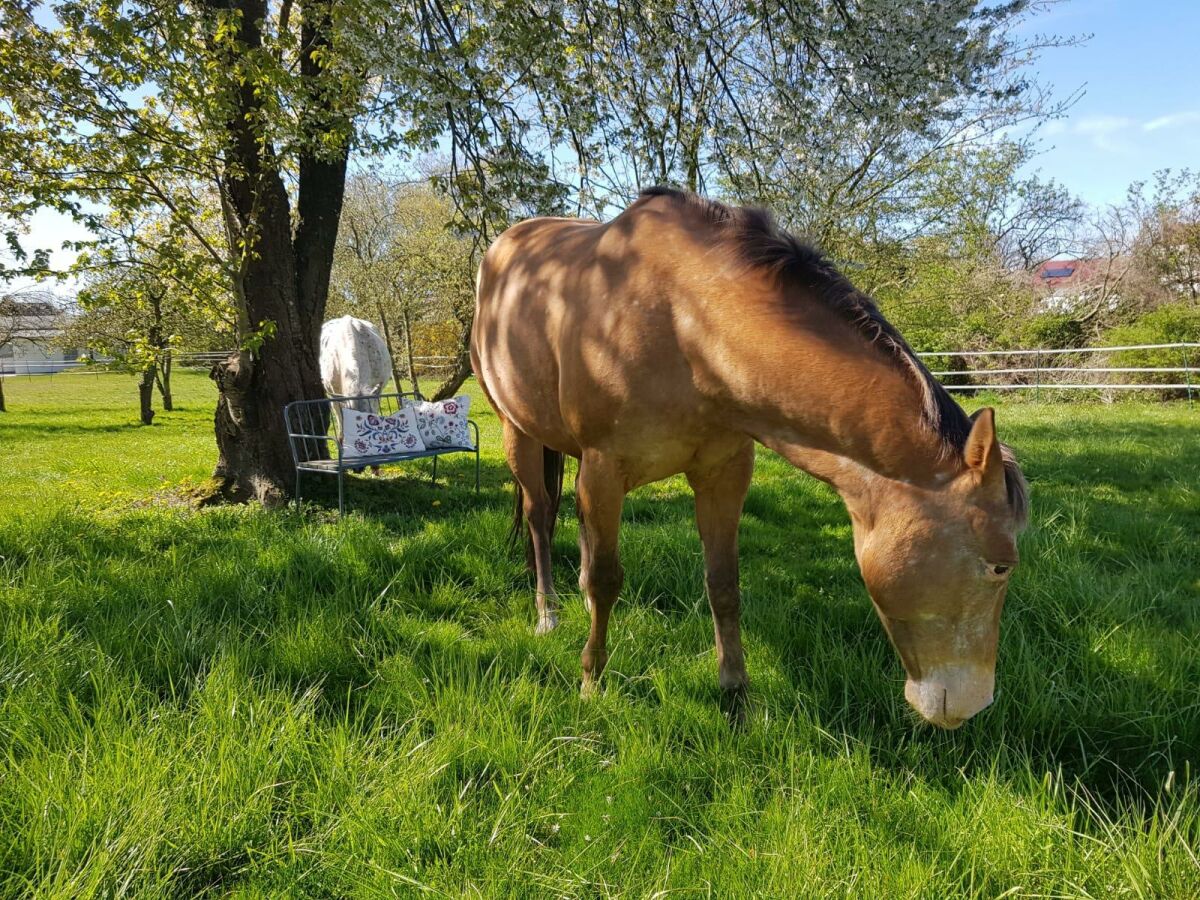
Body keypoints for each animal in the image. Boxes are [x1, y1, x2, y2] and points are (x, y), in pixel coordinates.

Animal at [472, 190, 1027, 734]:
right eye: (1000, 567)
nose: (974, 705)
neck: (684, 323)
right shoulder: (605, 470)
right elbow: (608, 579)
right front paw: (592, 681)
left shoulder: (723, 474)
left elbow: (723, 584)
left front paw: (736, 695)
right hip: (518, 433)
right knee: (540, 518)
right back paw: (548, 614)